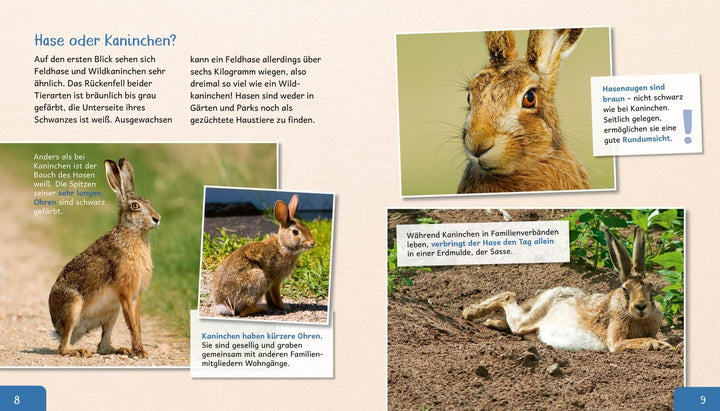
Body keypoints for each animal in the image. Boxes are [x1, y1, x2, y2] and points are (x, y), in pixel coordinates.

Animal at [48, 158, 160, 358]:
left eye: (149, 202)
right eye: (135, 206)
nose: (157, 218)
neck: (133, 233)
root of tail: (57, 329)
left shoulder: (135, 296)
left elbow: (137, 324)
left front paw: (139, 350)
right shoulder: (125, 293)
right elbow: (133, 324)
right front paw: (140, 352)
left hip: (113, 311)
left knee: (103, 346)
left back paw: (121, 349)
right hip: (73, 304)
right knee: (62, 348)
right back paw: (78, 351)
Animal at [461, 226, 673, 352]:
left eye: (651, 288)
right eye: (625, 289)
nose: (641, 306)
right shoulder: (615, 339)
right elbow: (629, 343)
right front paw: (659, 344)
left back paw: (490, 321)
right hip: (529, 318)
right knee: (508, 298)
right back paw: (470, 312)